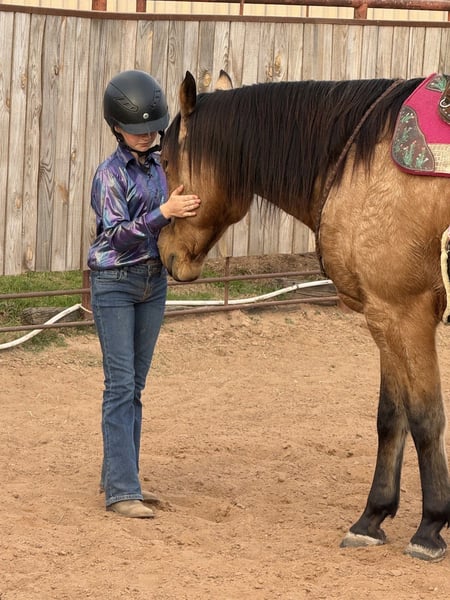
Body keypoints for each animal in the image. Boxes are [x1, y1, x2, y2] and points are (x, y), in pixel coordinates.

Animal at [158, 70, 450, 561]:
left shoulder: (405, 313)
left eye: (162, 162)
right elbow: (391, 417)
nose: (165, 252)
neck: (366, 161)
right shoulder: (383, 316)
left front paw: (430, 529)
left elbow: (426, 418)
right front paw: (372, 518)